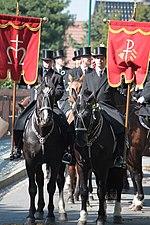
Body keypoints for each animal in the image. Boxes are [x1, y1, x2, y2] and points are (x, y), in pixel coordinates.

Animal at [22, 76, 67, 224]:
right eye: (40, 93)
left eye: (52, 94)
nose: (46, 118)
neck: (42, 132)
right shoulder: (30, 162)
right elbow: (32, 188)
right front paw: (30, 215)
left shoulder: (55, 162)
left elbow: (51, 187)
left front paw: (51, 215)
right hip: (37, 163)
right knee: (40, 181)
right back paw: (39, 210)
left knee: (59, 181)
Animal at [73, 90, 124, 225]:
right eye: (74, 113)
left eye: (87, 114)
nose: (79, 141)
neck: (90, 139)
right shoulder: (82, 166)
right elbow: (84, 190)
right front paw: (83, 216)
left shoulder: (103, 167)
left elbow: (101, 191)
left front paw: (100, 217)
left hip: (121, 165)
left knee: (118, 185)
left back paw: (117, 213)